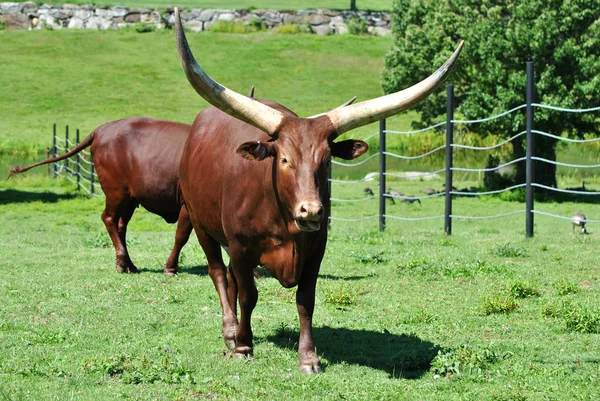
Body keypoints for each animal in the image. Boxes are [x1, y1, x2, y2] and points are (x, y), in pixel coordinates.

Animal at [173, 7, 464, 372]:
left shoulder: (316, 250)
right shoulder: (241, 247)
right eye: (284, 159)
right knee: (219, 274)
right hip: (201, 223)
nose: (311, 211)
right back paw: (230, 331)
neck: (283, 222)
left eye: (326, 160)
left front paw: (308, 357)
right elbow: (249, 294)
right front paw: (243, 346)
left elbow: (305, 299)